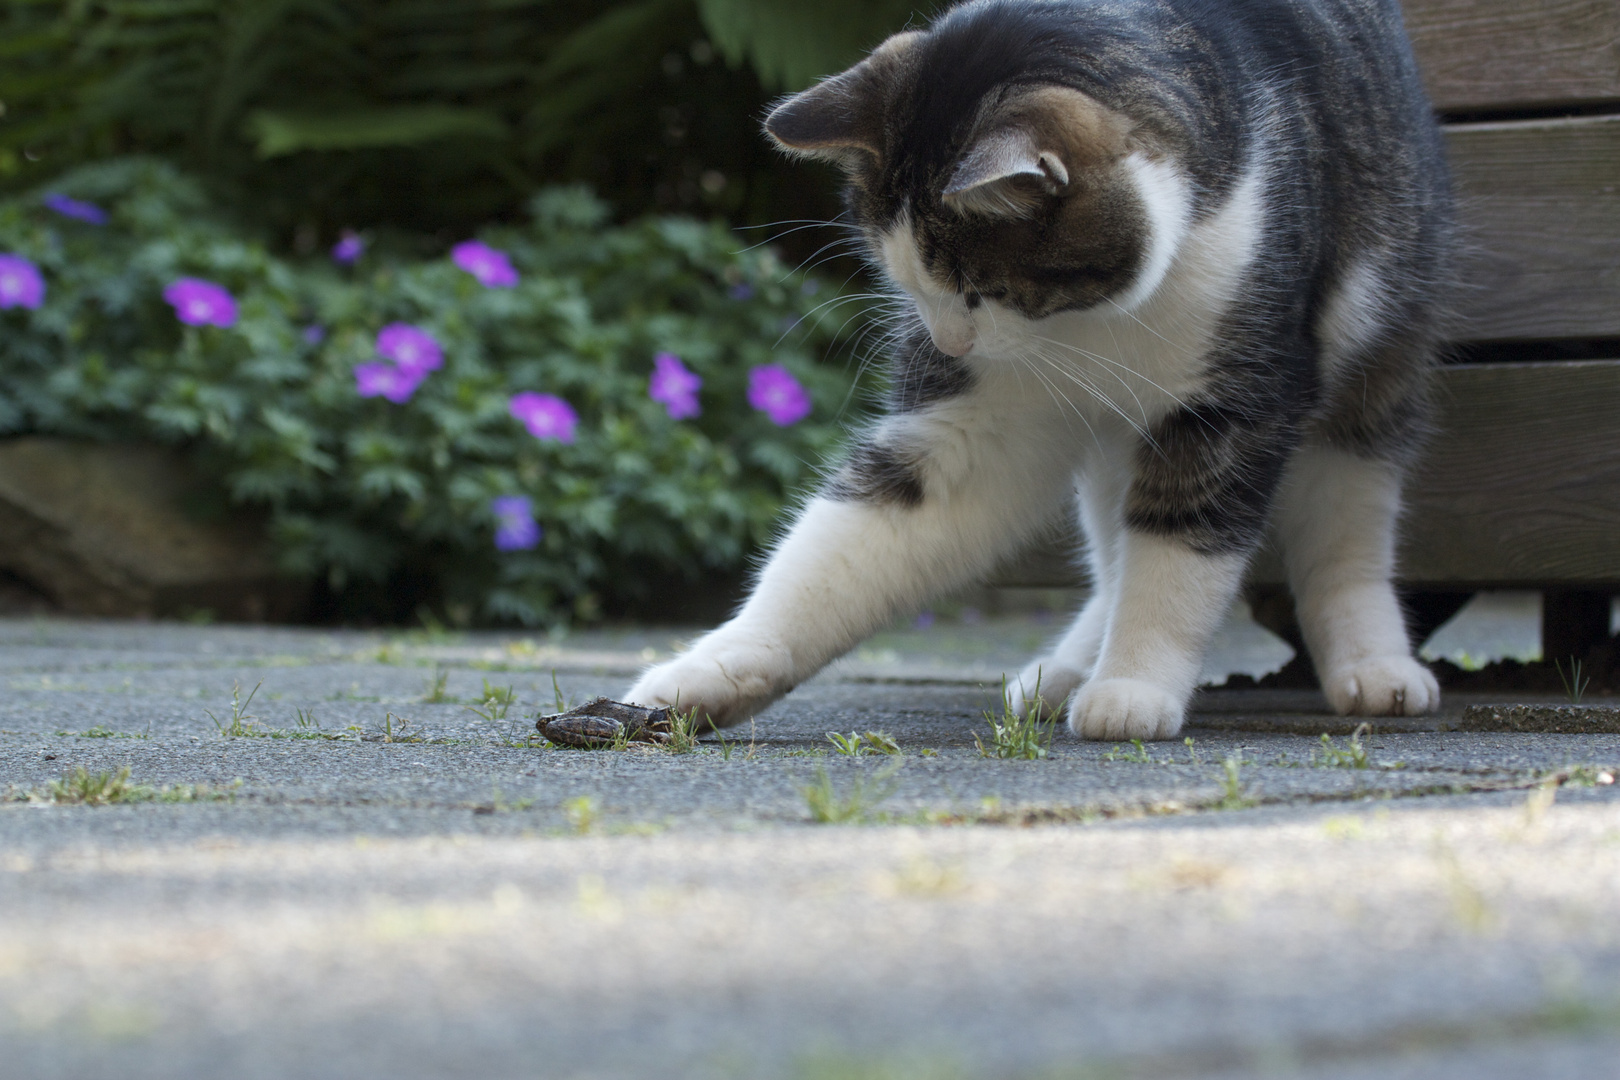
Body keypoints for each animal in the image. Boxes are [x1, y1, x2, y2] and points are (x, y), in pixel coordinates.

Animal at [622, 0, 1458, 738]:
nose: (949, 345)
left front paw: (1134, 686)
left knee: (1344, 519)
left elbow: (1181, 552)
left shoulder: (1232, 400)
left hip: (1375, 354)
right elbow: (846, 547)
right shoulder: (985, 420)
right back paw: (1069, 667)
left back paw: (1372, 665)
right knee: (1116, 545)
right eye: (907, 280)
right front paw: (712, 671)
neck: (1097, 319)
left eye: (978, 288)